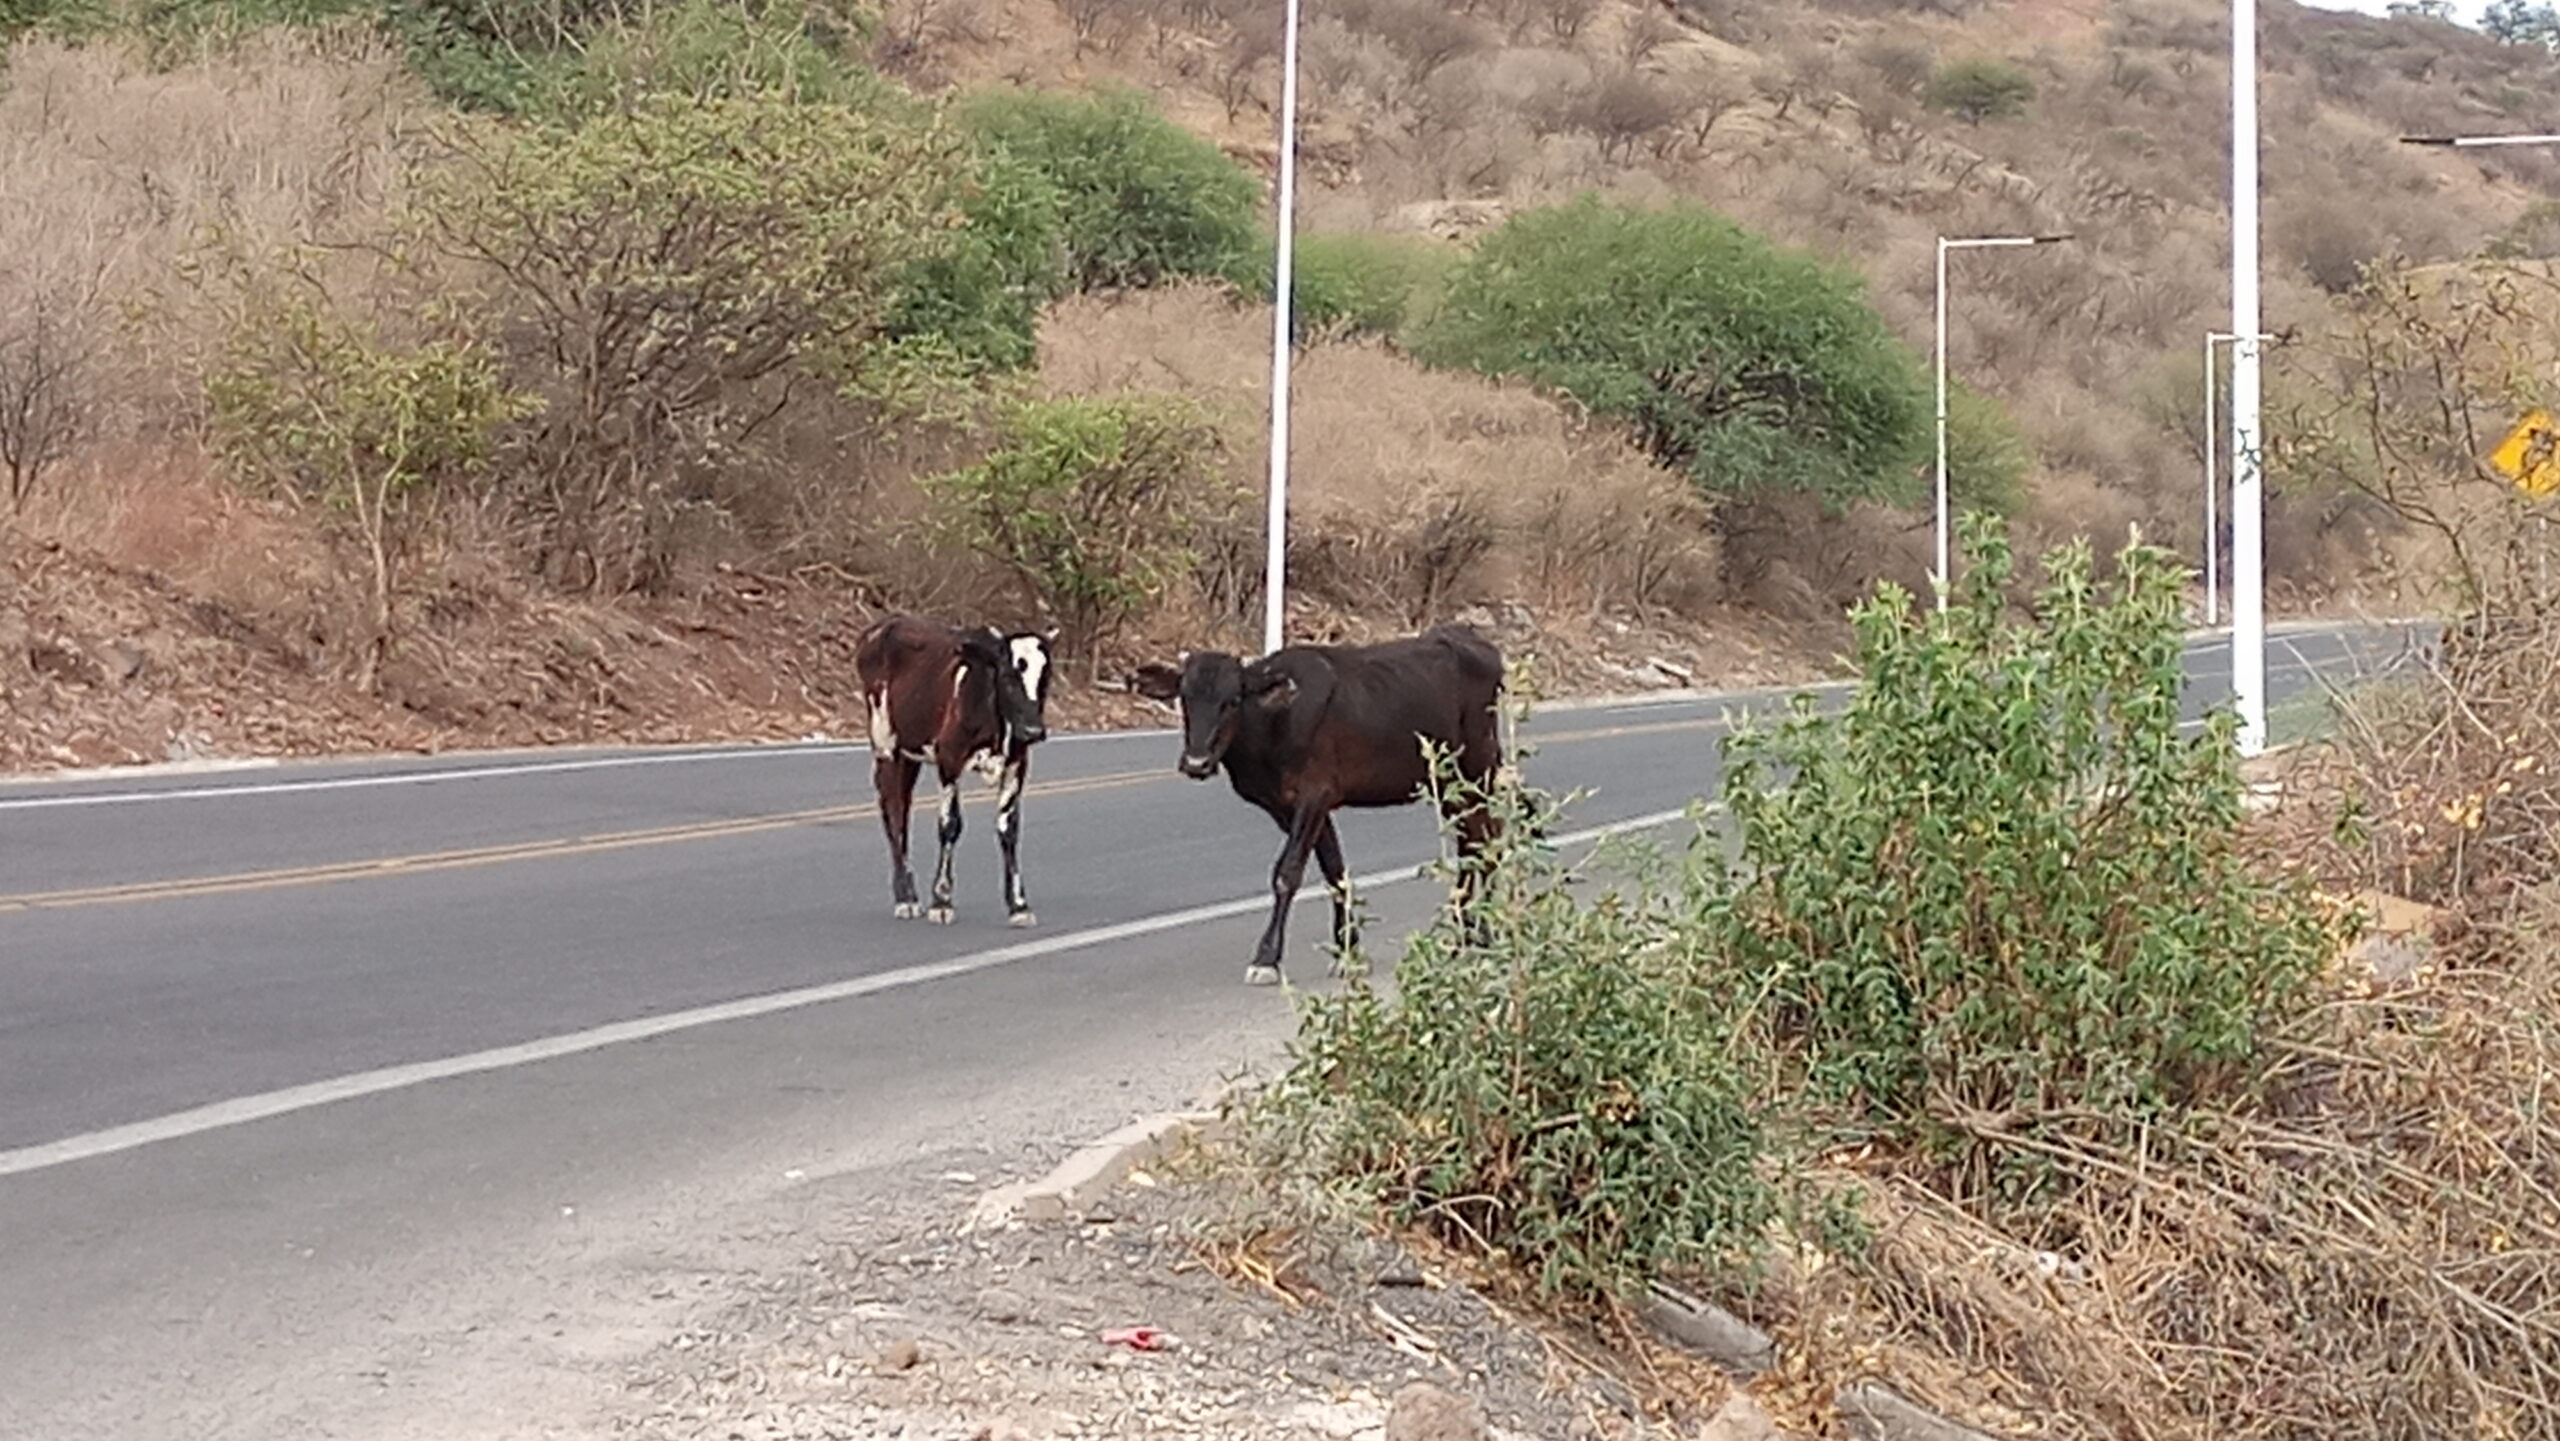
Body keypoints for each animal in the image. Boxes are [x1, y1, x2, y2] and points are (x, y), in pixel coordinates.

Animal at [855, 614, 1054, 931]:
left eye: (1045, 679)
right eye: (1009, 677)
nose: (1034, 731)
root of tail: (886, 623)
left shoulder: (1017, 764)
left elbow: (1008, 828)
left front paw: (1019, 905)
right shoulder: (949, 759)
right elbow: (950, 825)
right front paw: (942, 901)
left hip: (909, 756)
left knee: (902, 809)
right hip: (885, 745)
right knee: (893, 812)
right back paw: (906, 899)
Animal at [1131, 627, 1505, 987]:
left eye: (1233, 700)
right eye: (1184, 698)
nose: (1196, 763)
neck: (1272, 723)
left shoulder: (1315, 794)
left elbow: (1287, 873)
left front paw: (1266, 959)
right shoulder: (1292, 807)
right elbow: (1334, 871)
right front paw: (1348, 952)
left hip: (1479, 772)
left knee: (1488, 844)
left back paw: (1481, 932)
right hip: (1450, 787)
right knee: (1473, 845)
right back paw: (1467, 931)